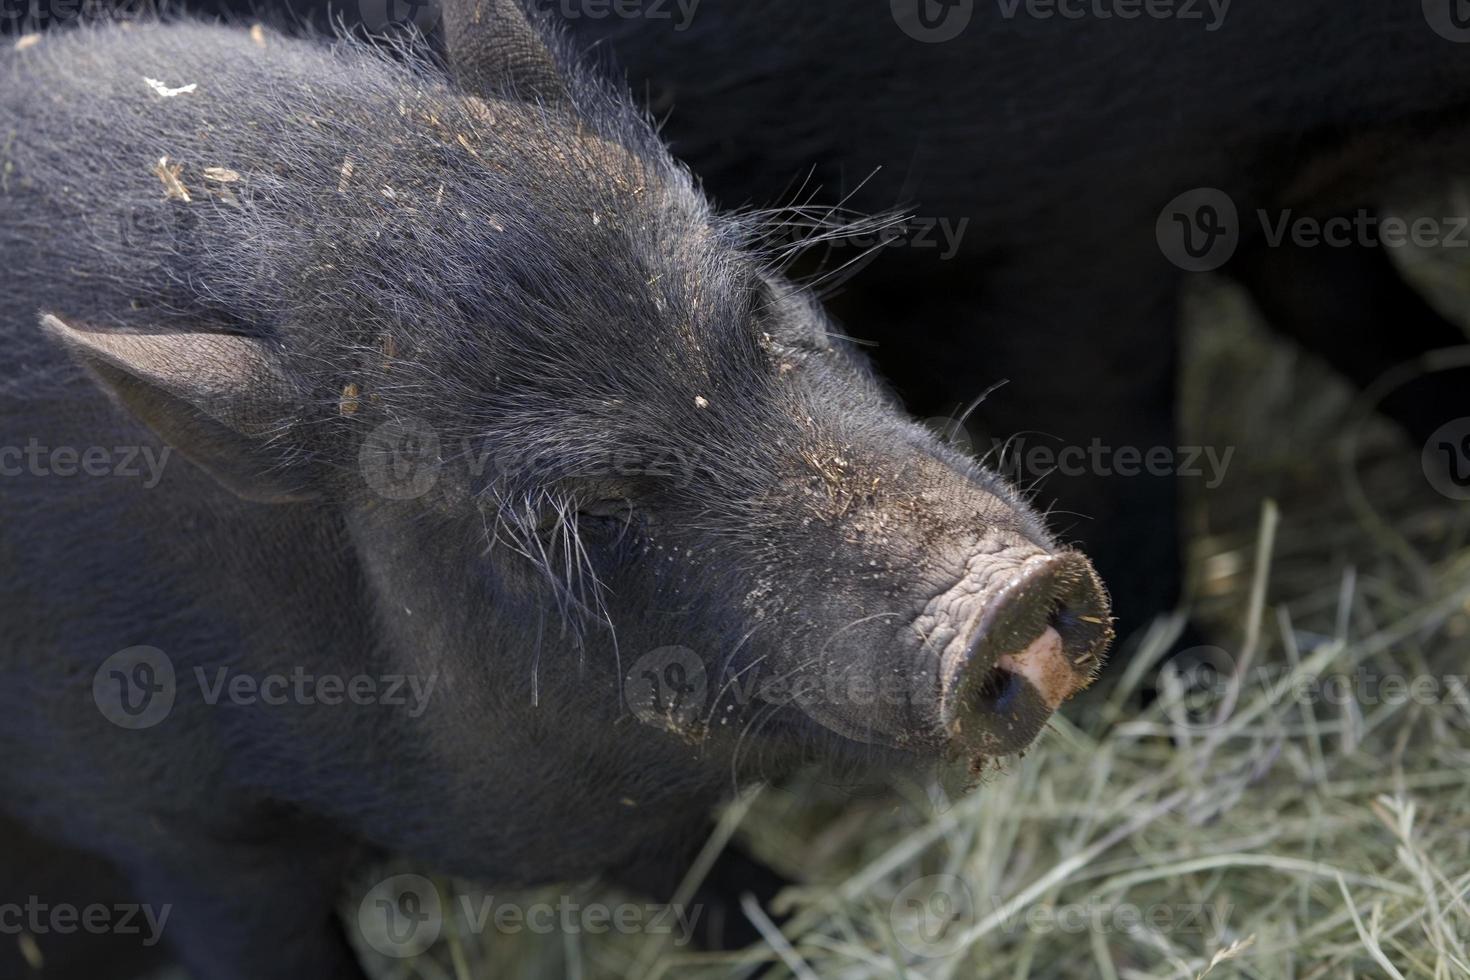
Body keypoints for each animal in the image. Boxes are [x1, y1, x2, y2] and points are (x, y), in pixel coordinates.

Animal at [0, 3, 1105, 975]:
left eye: (754, 302)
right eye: (575, 515)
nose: (1006, 594)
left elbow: (693, 869)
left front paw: (790, 925)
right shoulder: (176, 834)